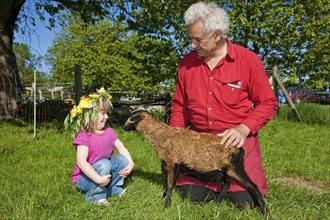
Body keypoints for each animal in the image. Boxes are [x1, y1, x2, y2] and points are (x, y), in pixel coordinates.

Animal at [122, 111, 270, 217]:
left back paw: (266, 213)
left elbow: (169, 185)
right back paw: (215, 204)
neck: (162, 135)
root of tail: (240, 148)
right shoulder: (167, 164)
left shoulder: (173, 162)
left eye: (130, 119)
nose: (123, 127)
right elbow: (166, 184)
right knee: (226, 186)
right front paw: (162, 200)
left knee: (253, 187)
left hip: (235, 168)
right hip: (224, 170)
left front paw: (166, 206)